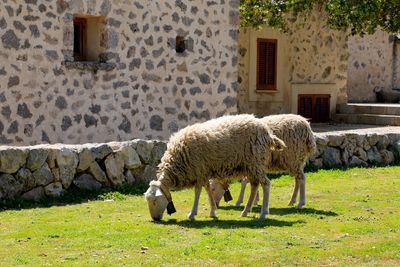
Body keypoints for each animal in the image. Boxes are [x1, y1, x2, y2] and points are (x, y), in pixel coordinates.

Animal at [145, 115, 286, 222]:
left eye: (154, 201)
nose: (155, 219)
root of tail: (268, 134)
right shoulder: (203, 172)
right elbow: (207, 189)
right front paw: (213, 211)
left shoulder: (199, 170)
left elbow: (197, 192)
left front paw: (192, 214)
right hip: (251, 166)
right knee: (254, 186)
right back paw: (245, 211)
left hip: (256, 162)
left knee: (266, 184)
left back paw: (263, 213)